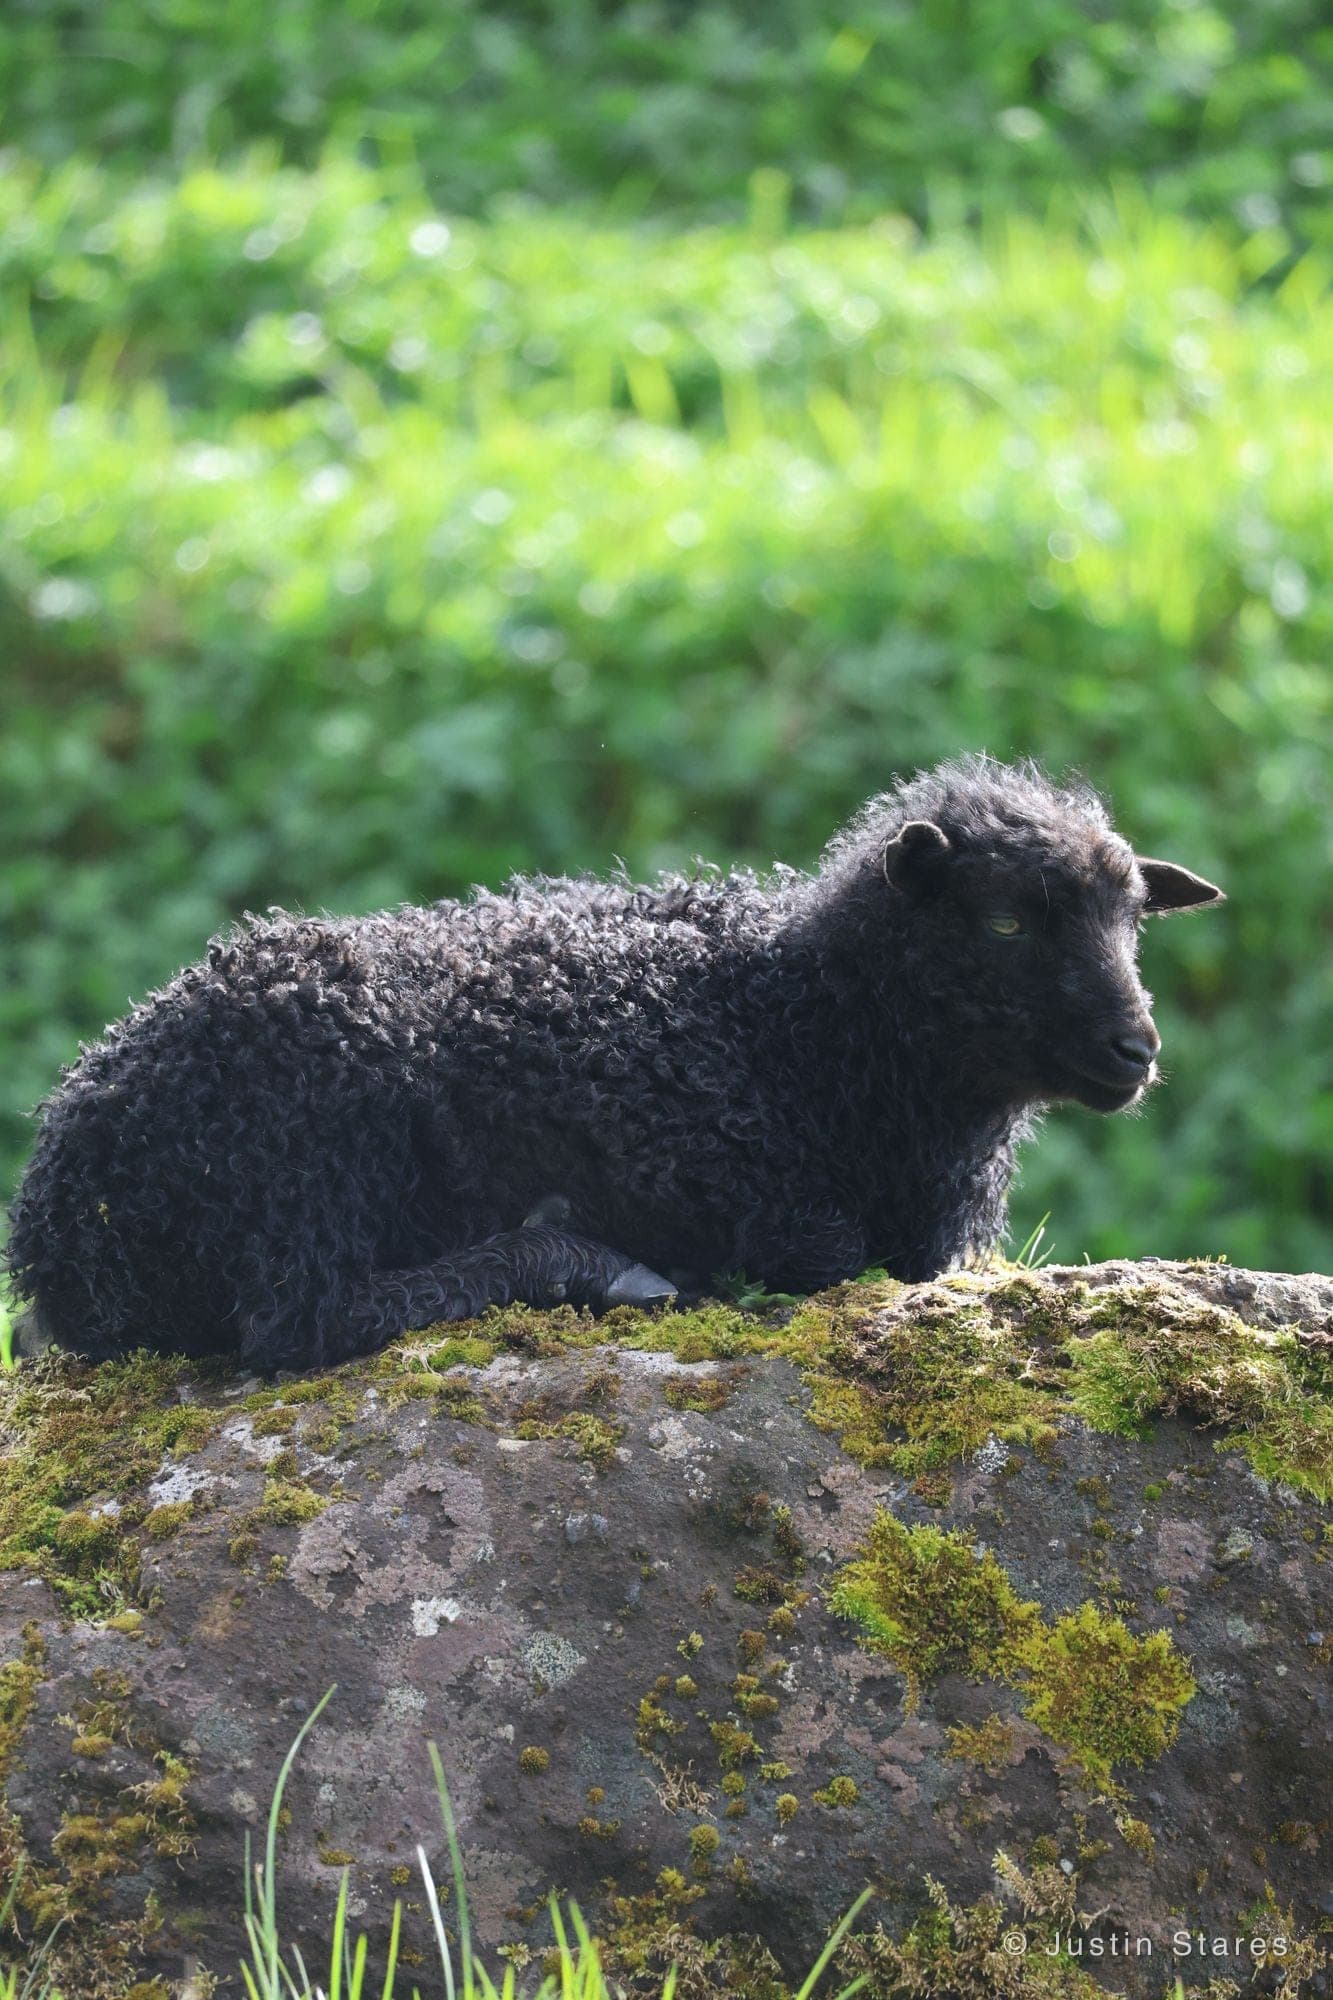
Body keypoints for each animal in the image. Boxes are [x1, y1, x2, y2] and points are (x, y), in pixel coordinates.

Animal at [6, 756, 1223, 1370]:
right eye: (1006, 924)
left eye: (1132, 921)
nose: (1135, 1049)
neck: (803, 1021)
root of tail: (56, 1229)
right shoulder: (723, 1172)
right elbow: (826, 1254)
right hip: (306, 1112)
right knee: (296, 1321)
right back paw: (586, 1262)